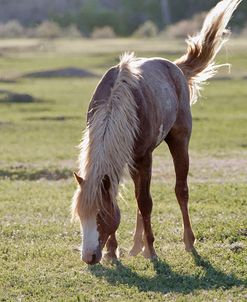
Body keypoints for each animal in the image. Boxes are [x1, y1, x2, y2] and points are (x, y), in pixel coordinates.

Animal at [71, 0, 241, 264]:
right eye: (81, 215)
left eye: (100, 216)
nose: (89, 257)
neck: (118, 103)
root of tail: (175, 68)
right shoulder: (126, 159)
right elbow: (131, 200)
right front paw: (112, 252)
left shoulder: (144, 156)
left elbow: (146, 202)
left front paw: (151, 250)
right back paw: (135, 247)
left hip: (179, 141)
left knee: (180, 190)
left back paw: (187, 243)